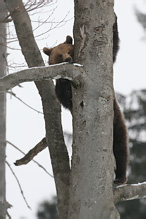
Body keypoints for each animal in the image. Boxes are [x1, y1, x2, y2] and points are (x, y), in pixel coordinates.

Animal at [43, 19, 129, 184]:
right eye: (59, 54)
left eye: (69, 51)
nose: (68, 59)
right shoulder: (61, 89)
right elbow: (64, 97)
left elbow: (113, 49)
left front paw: (114, 20)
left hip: (117, 120)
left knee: (121, 148)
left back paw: (120, 177)